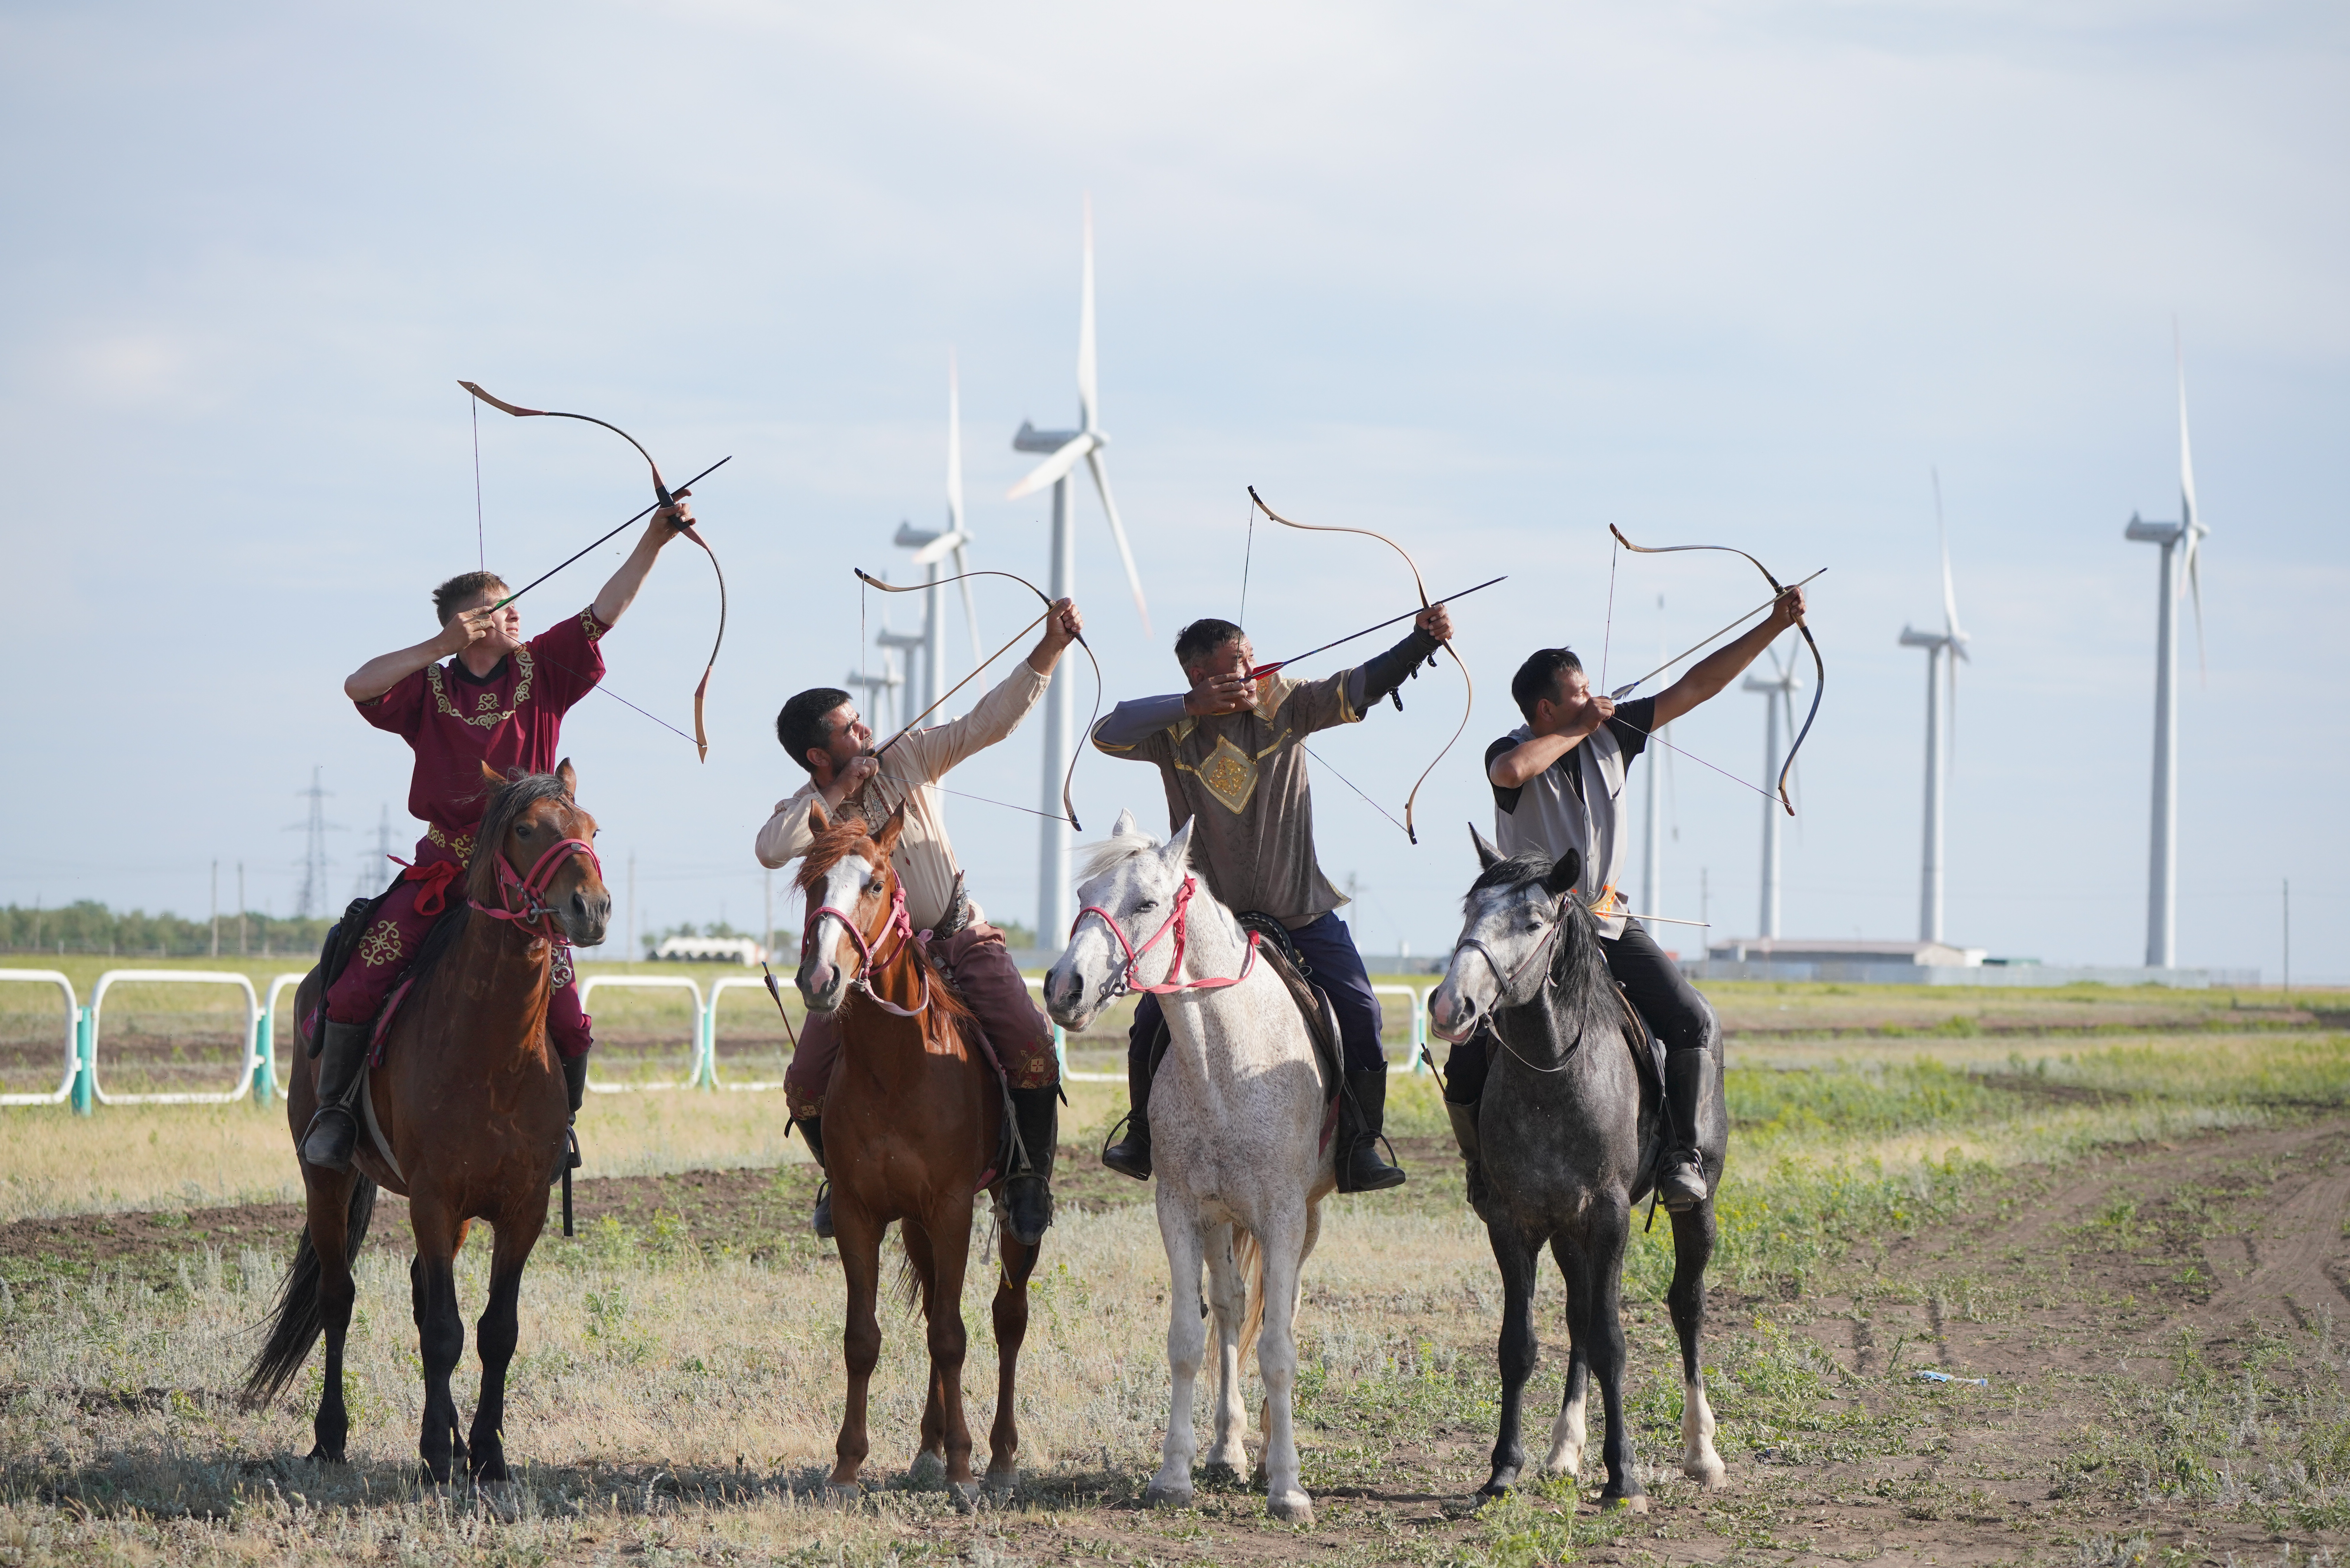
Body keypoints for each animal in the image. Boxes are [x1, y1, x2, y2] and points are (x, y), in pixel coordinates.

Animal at [243, 761, 611, 1485]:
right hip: (325, 1179)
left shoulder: (520, 1208)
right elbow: (445, 1331)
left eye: (590, 828)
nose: (591, 907)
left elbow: (496, 1330)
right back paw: (332, 1436)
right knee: (338, 1295)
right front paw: (438, 1457)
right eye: (527, 829)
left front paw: (487, 1452)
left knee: (418, 1295)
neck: (496, 1051)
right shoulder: (433, 1199)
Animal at [799, 804, 1039, 1504]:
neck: (896, 1068)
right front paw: (847, 1467)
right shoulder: (859, 1215)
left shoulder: (954, 1207)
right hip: (914, 1225)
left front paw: (963, 1468)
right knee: (936, 1304)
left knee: (1007, 1318)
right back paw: (928, 1448)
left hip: (1005, 1217)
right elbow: (863, 1338)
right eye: (810, 885)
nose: (820, 978)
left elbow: (952, 1337)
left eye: (875, 883)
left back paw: (999, 1459)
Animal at [1043, 818, 1335, 1523]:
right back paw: (1227, 1451)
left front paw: (1287, 1486)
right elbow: (1184, 1339)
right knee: (1231, 1308)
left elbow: (1278, 1350)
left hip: (1304, 1218)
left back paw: (1265, 1449)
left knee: (1282, 1310)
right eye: (1083, 894)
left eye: (1146, 902)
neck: (1224, 1061)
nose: (1062, 988)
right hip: (1220, 1219)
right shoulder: (1178, 1210)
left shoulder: (1283, 1216)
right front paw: (1173, 1474)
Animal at [1410, 832, 1730, 1504]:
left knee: (1685, 1306)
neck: (1552, 1074)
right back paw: (1563, 1450)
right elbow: (1520, 1344)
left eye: (1533, 922)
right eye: (1469, 912)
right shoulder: (1513, 1222)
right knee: (1577, 1315)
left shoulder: (1608, 1217)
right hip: (1565, 1232)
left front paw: (1623, 1477)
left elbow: (1612, 1342)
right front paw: (1504, 1469)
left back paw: (1701, 1451)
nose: (1451, 1005)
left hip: (1697, 1208)